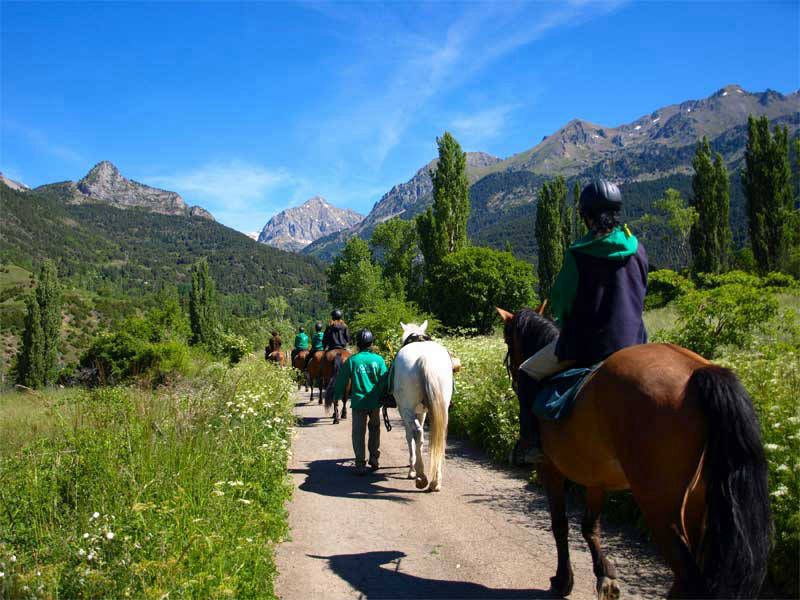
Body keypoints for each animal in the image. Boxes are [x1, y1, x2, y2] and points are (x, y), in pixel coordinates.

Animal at [392, 322, 454, 490]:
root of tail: (425, 358)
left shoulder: (404, 411)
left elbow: (410, 437)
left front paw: (412, 469)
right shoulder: (422, 411)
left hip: (406, 409)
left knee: (417, 432)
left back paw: (420, 476)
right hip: (442, 407)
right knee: (439, 435)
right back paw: (435, 481)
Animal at [500, 308, 768, 600]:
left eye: (508, 340)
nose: (513, 375)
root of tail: (698, 371)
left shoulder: (550, 469)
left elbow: (560, 524)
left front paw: (563, 580)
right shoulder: (596, 478)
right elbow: (589, 526)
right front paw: (605, 575)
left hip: (659, 506)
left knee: (689, 576)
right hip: (697, 502)